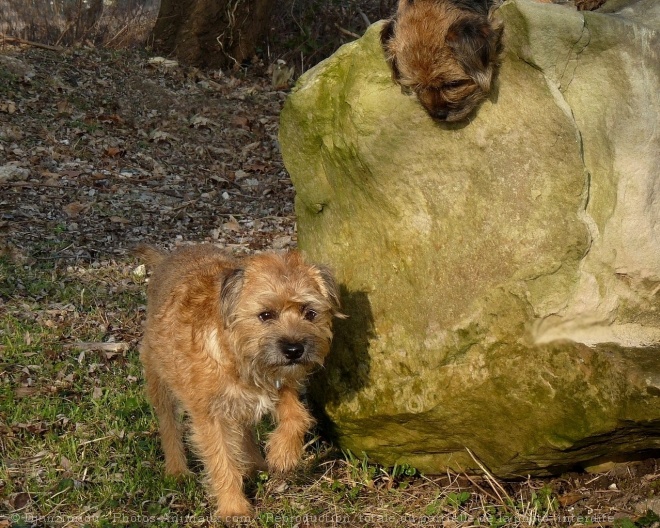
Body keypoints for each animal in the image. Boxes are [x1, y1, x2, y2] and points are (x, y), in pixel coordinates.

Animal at [132, 244, 342, 520]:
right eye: (265, 315)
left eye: (310, 313)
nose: (294, 349)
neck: (240, 358)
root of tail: (166, 258)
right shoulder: (212, 417)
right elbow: (222, 461)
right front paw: (233, 507)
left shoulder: (280, 384)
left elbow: (298, 416)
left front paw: (283, 454)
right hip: (160, 377)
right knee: (169, 424)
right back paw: (177, 469)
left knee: (244, 430)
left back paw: (256, 464)